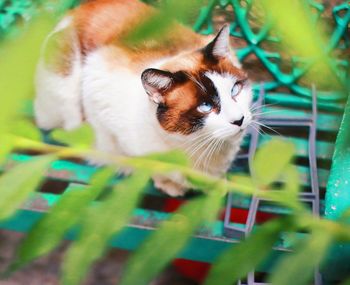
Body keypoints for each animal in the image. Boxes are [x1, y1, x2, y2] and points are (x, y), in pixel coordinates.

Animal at [34, 0, 253, 195]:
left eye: (235, 90)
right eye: (205, 106)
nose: (239, 119)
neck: (195, 145)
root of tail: (76, 10)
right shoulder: (96, 87)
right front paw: (164, 181)